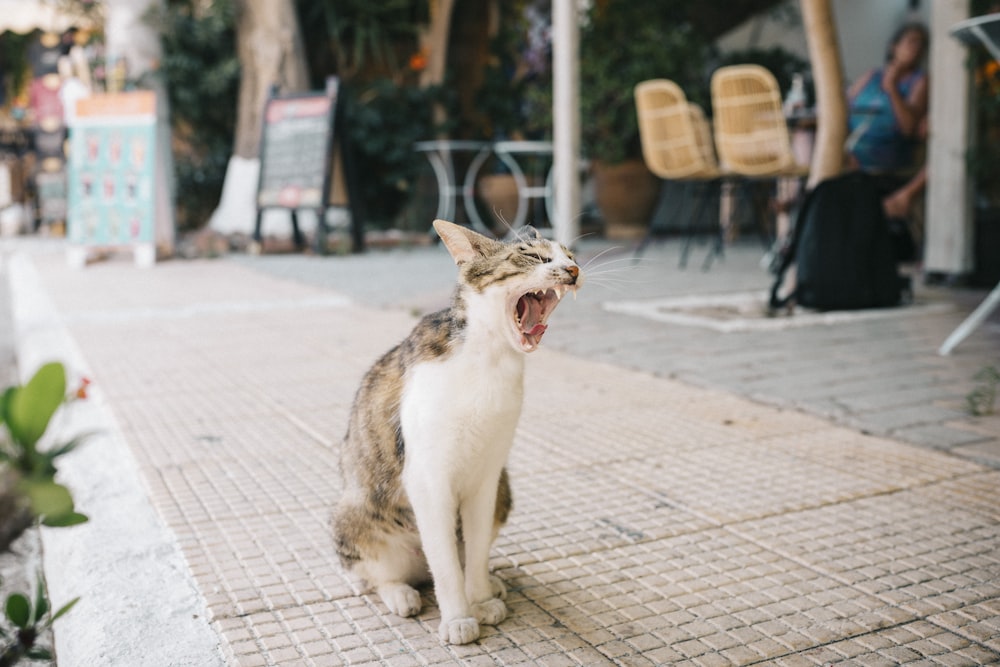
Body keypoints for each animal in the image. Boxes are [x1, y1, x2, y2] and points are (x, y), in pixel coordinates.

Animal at [332, 220, 584, 648]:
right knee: (376, 574)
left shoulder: (487, 476)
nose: (573, 270)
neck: (490, 360)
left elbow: (477, 548)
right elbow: (446, 564)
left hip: (504, 488)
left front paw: (479, 598)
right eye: (534, 256)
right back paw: (401, 593)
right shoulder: (428, 479)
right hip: (352, 510)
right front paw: (459, 618)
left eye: (570, 255)